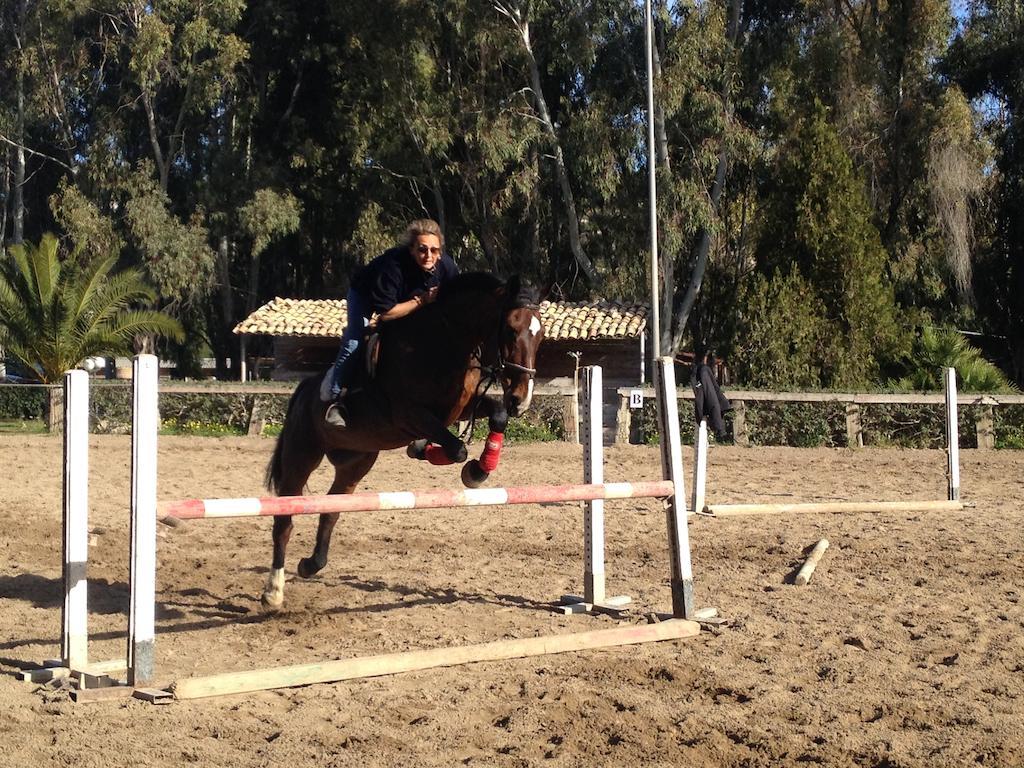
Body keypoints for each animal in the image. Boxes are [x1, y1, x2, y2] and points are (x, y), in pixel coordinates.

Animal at [258, 274, 544, 610]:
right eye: (511, 330)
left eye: (540, 336)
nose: (521, 400)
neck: (445, 342)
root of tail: (303, 390)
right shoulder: (408, 415)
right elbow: (457, 448)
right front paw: (445, 458)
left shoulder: (463, 406)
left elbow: (496, 416)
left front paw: (477, 471)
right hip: (301, 456)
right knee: (284, 520)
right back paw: (273, 591)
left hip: (357, 462)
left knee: (331, 508)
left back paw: (310, 564)